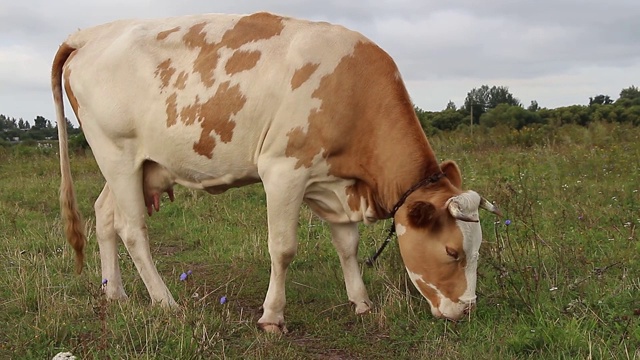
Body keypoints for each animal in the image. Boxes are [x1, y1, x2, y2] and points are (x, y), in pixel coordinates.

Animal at [51, 11, 500, 332]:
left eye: (478, 249)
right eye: (452, 252)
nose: (466, 311)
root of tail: (90, 34)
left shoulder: (333, 182)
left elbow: (348, 246)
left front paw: (361, 303)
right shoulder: (284, 171)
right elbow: (283, 249)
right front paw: (272, 317)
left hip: (133, 166)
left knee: (105, 216)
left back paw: (116, 294)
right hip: (117, 154)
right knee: (133, 230)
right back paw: (166, 303)